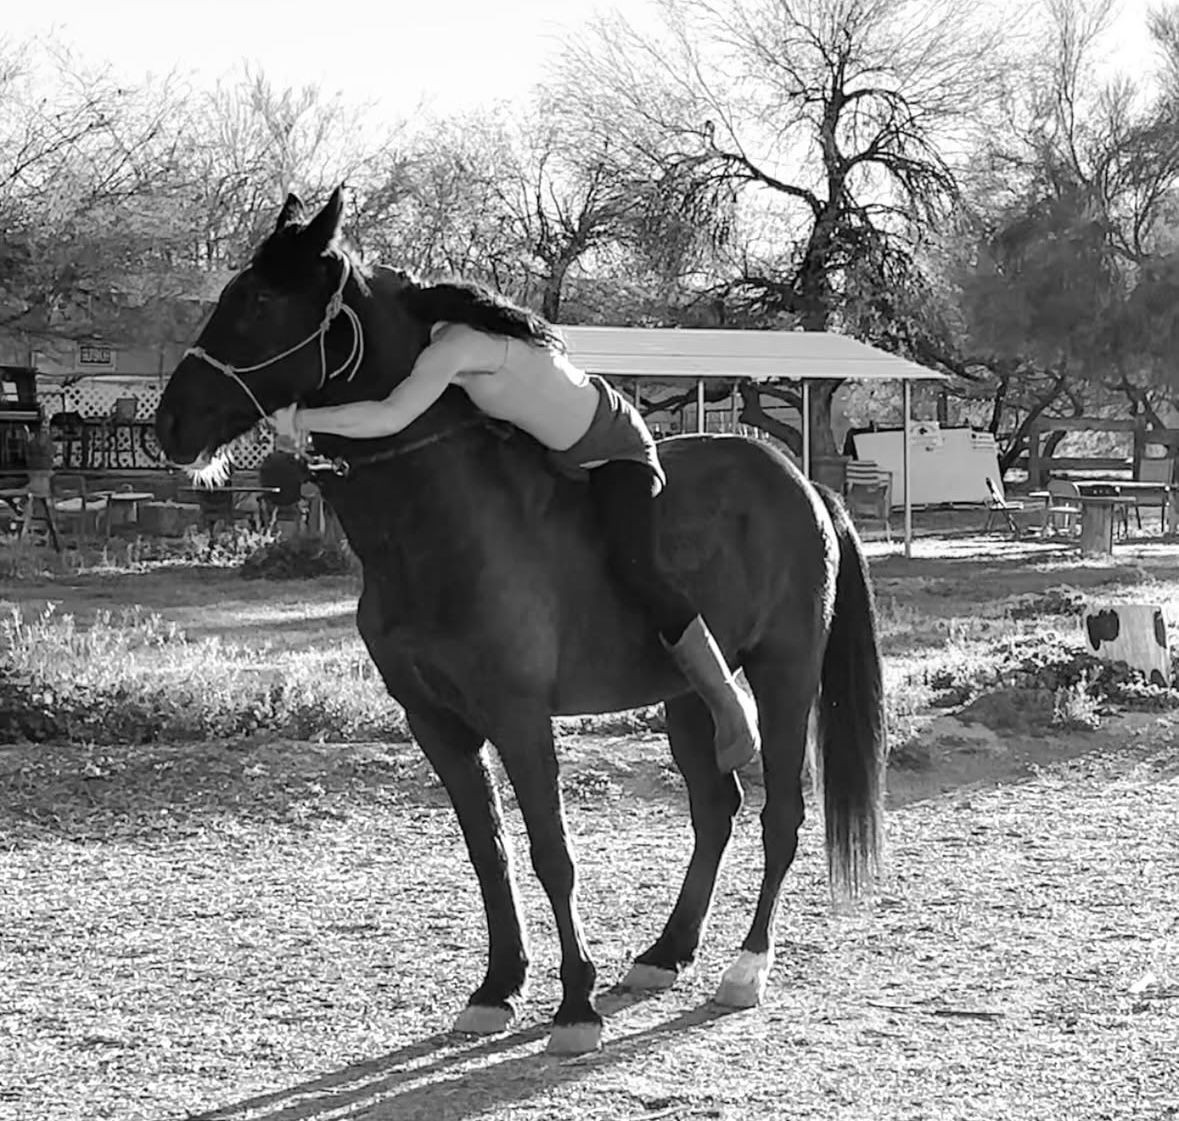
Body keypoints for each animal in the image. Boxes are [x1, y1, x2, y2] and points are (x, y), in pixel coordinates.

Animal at [153, 186, 886, 1056]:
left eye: (261, 301)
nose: (169, 424)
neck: (441, 521)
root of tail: (804, 485)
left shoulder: (519, 716)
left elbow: (550, 853)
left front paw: (575, 1004)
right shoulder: (436, 722)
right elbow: (489, 851)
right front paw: (498, 986)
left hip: (785, 672)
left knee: (780, 817)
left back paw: (744, 969)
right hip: (683, 695)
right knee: (715, 810)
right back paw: (666, 951)